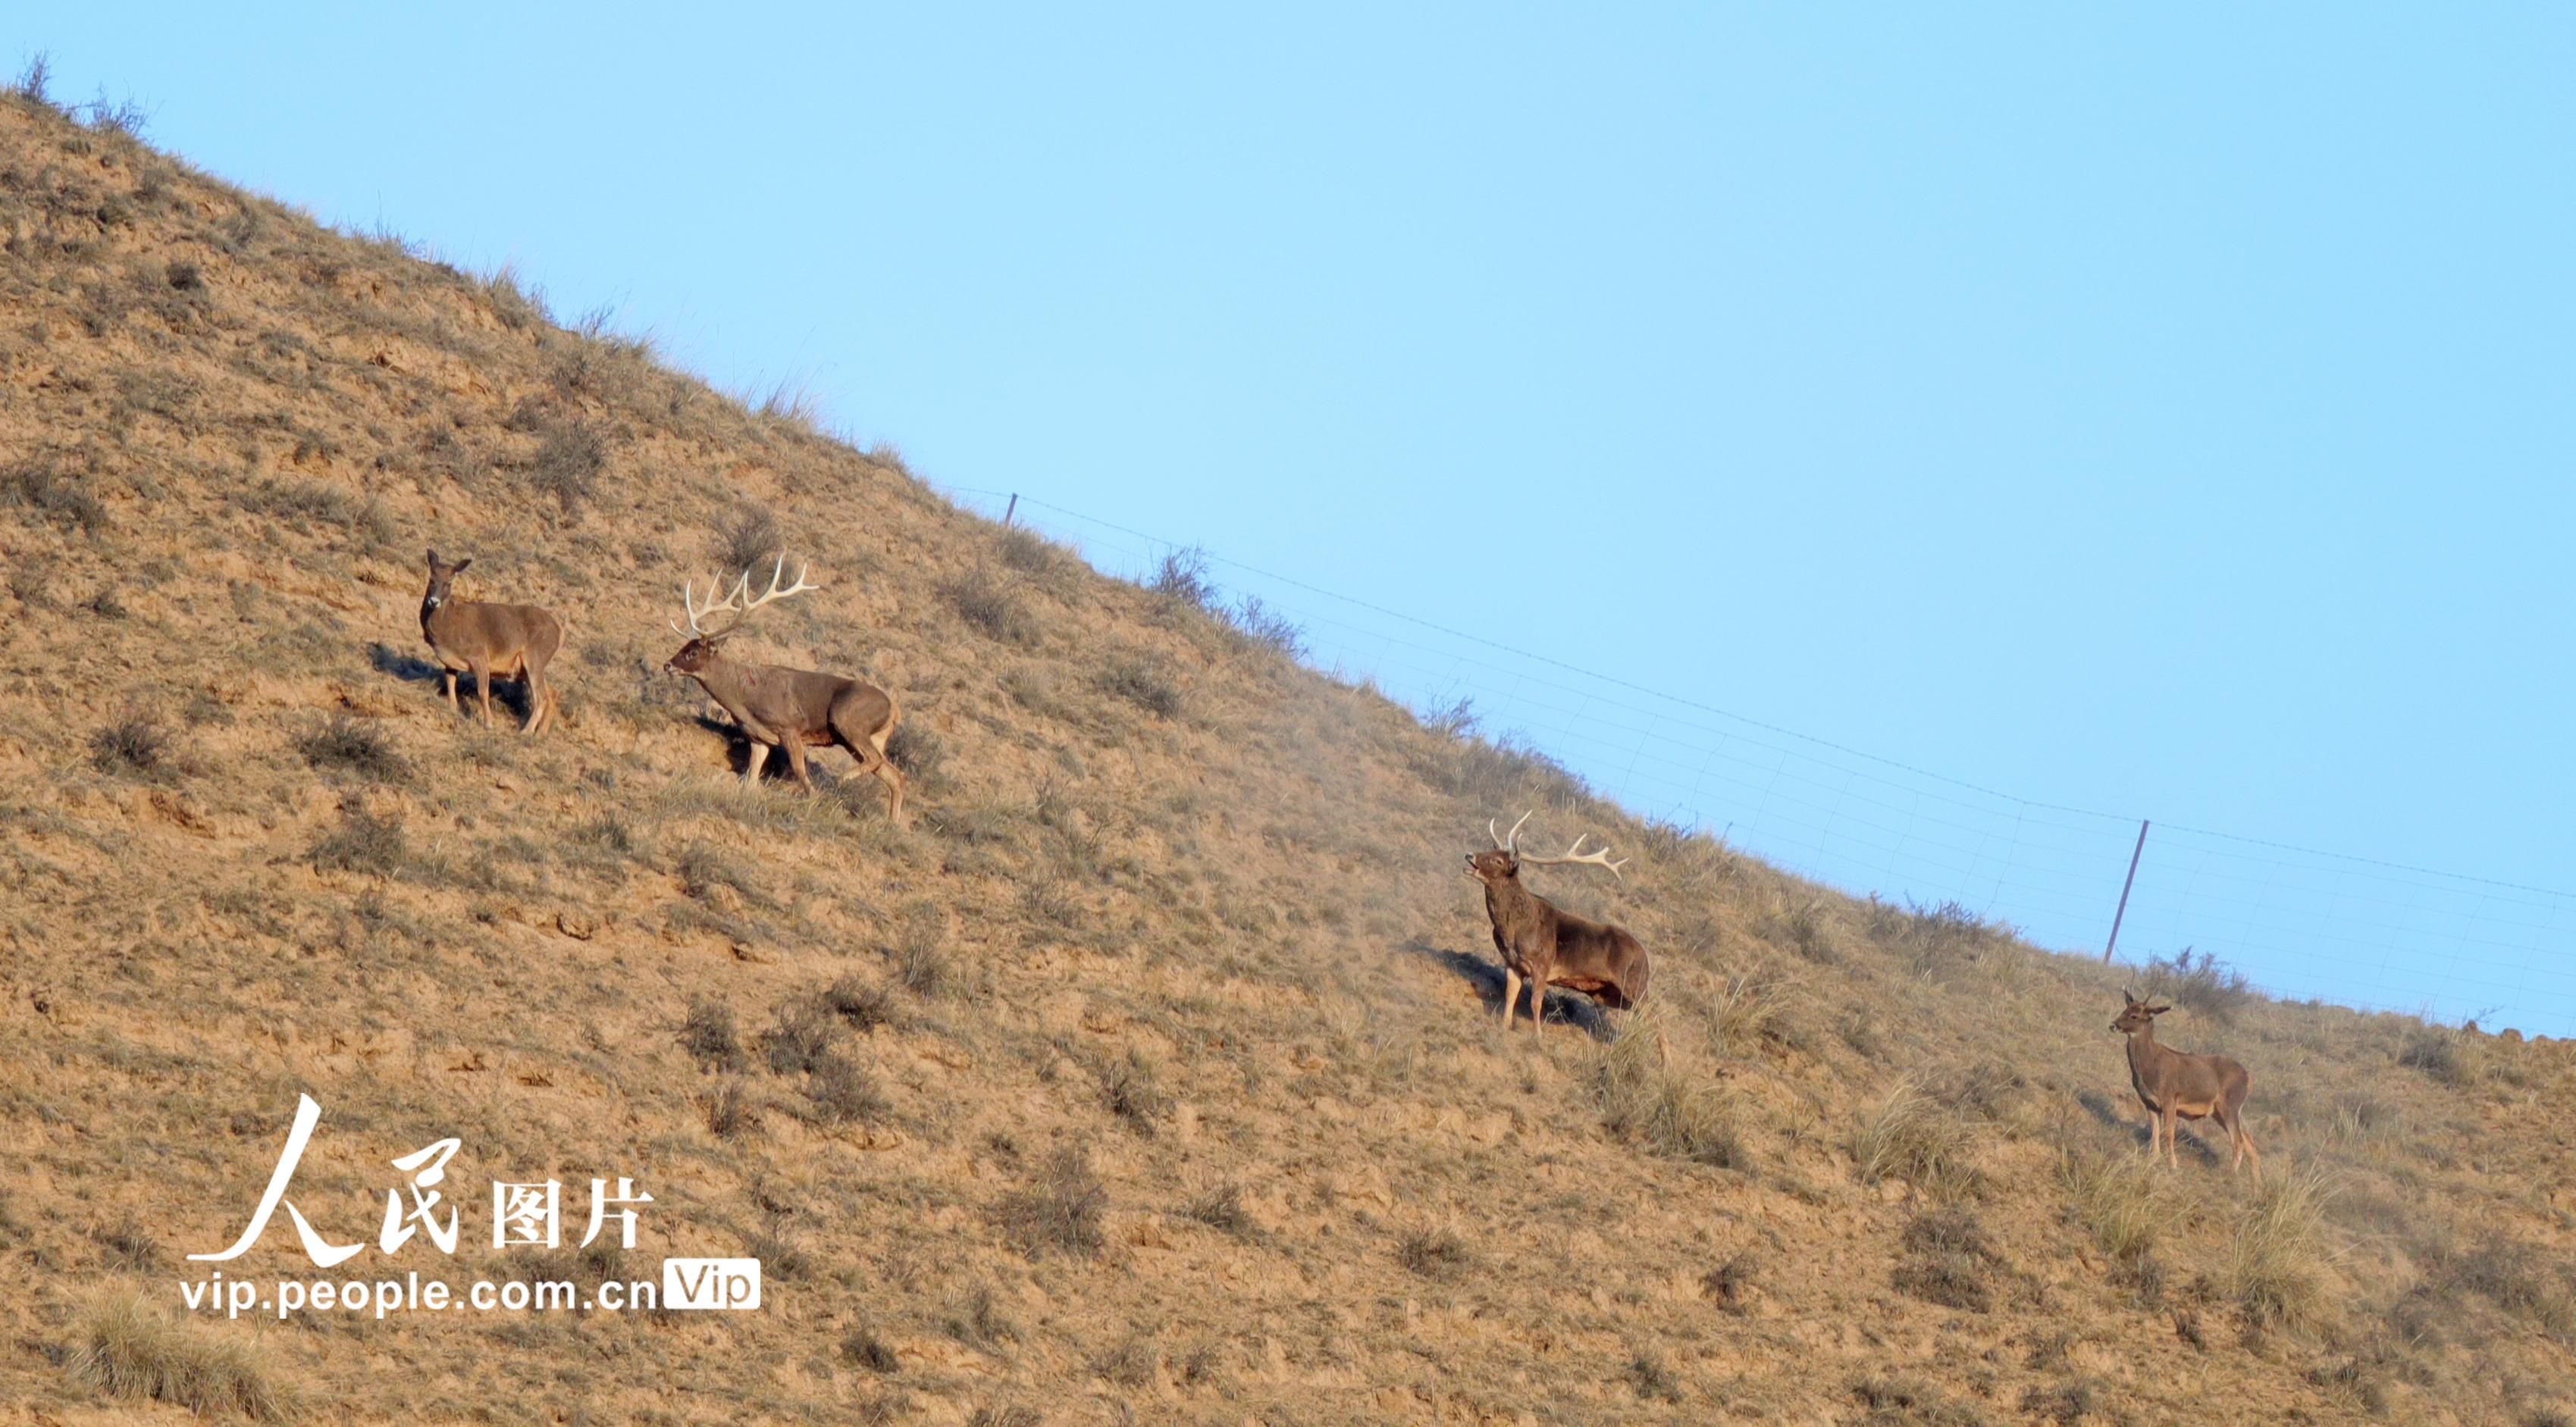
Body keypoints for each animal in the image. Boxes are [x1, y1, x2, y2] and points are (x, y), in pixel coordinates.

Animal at [419, 538, 561, 726]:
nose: (434, 601)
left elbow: (482, 691)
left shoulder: (479, 655)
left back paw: (526, 731)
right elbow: (450, 682)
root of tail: (559, 632)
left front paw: (488, 723)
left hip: (536, 657)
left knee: (542, 697)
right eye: (431, 579)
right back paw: (540, 732)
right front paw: (452, 708)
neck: (448, 628)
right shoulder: (450, 662)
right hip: (529, 667)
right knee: (552, 693)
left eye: (449, 583)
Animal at [664, 556, 907, 824]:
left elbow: (799, 770)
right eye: (683, 646)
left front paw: (813, 798)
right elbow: (751, 777)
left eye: (693, 652)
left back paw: (839, 781)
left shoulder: (789, 727)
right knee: (894, 775)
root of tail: (895, 709)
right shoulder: (758, 738)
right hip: (869, 737)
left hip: (849, 721)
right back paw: (893, 823)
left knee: (877, 761)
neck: (744, 698)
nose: (668, 665)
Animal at [1473, 803, 1648, 1041]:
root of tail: (1647, 961)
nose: (1470, 856)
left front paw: (1538, 1036)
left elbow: (1535, 1002)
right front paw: (1503, 1025)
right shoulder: (1512, 963)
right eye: (1488, 851)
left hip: (1636, 986)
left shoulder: (1543, 963)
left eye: (1498, 860)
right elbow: (1510, 995)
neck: (1513, 930)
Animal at [2112, 989, 2256, 1179]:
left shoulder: (2169, 1097)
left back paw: (2231, 1174)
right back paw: (2256, 1184)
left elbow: (2168, 1133)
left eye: (2134, 1016)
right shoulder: (2149, 1102)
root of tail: (2248, 1078)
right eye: (2125, 1009)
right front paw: (2154, 1158)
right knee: (2250, 1142)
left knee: (2238, 1141)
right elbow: (2155, 1131)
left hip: (2230, 1104)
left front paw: (2173, 1165)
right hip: (2224, 1111)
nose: (2113, 1025)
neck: (2148, 1068)